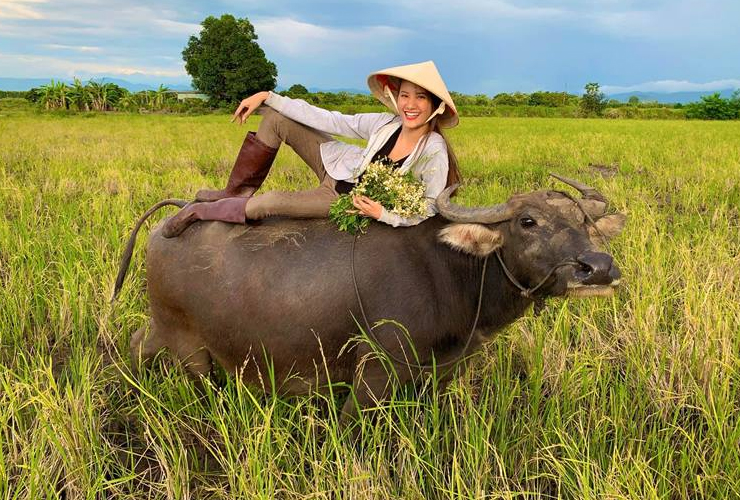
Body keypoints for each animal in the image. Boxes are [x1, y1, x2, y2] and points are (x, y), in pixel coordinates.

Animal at [115, 174, 624, 420]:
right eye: (527, 222)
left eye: (585, 223)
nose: (597, 268)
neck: (452, 272)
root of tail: (172, 219)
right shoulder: (376, 372)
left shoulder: (439, 374)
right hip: (190, 349)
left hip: (163, 329)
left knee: (135, 345)